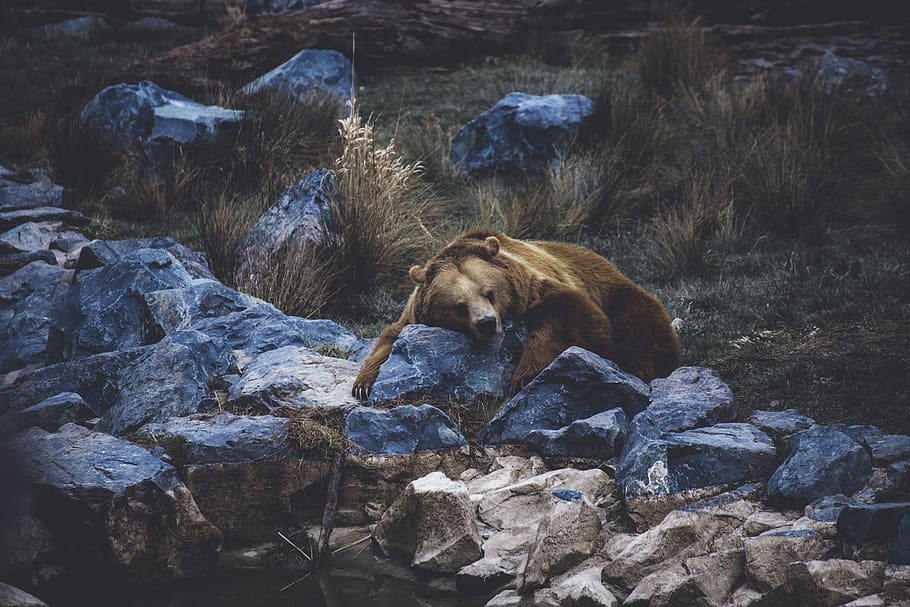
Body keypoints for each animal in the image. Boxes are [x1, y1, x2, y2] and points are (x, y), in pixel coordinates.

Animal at [352, 229, 681, 399]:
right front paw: (364, 384)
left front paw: (523, 376)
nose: (486, 323)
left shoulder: (535, 286)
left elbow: (574, 316)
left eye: (489, 291)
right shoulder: (414, 315)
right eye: (459, 305)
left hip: (614, 290)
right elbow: (388, 339)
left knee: (642, 326)